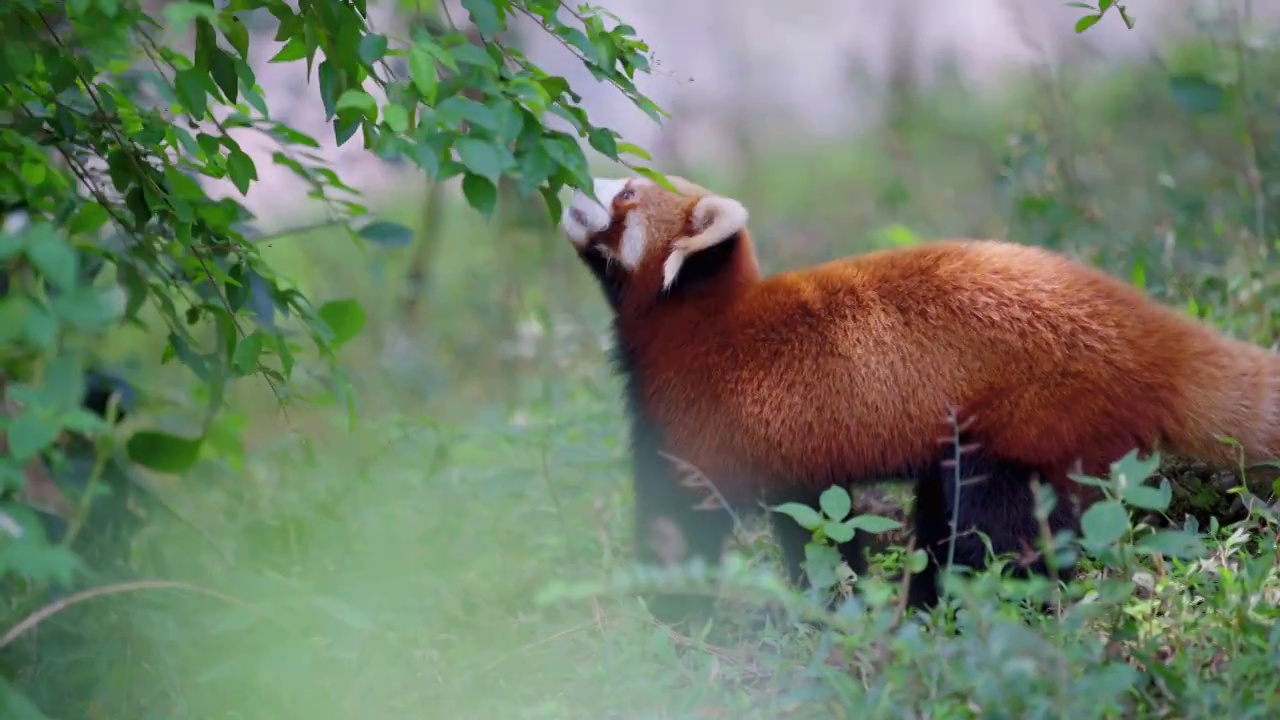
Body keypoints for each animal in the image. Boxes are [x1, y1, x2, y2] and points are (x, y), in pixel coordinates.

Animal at [558, 170, 1280, 620]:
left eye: (626, 191)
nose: (567, 182)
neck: (700, 326)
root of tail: (1140, 323)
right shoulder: (800, 464)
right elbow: (822, 533)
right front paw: (834, 608)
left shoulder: (706, 421)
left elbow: (678, 527)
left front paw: (666, 616)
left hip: (1026, 425)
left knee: (1001, 534)